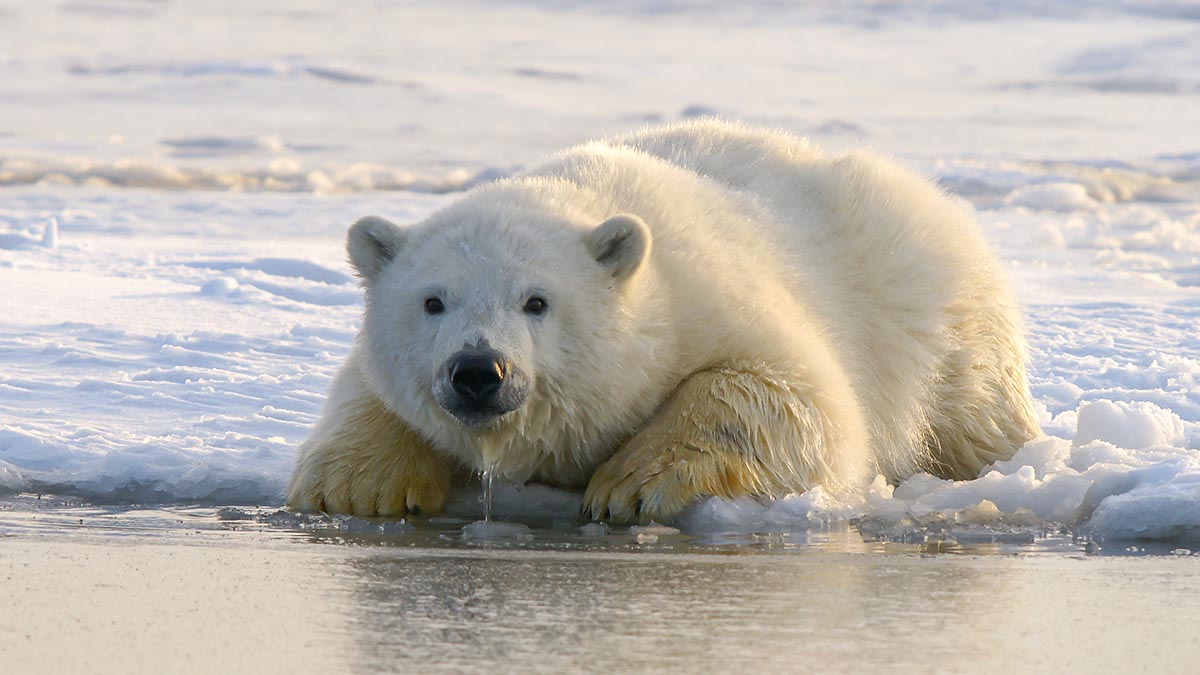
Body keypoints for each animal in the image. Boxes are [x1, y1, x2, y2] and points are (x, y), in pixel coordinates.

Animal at [288, 119, 1041, 521]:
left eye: (536, 300)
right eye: (433, 300)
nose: (479, 370)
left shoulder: (713, 298)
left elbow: (795, 397)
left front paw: (629, 485)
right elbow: (366, 388)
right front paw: (357, 487)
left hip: (936, 315)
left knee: (973, 411)